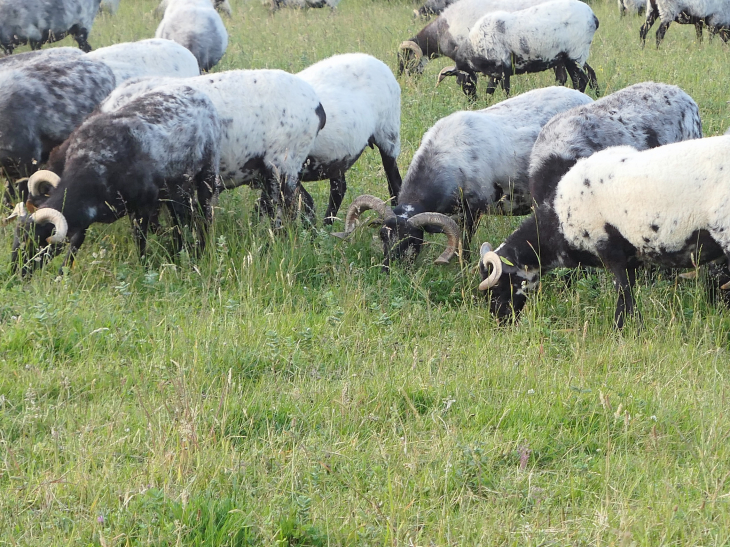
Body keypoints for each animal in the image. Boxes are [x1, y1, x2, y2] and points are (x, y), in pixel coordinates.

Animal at [294, 54, 400, 226]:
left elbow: (304, 203)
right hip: (337, 153)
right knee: (339, 189)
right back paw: (327, 226)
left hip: (388, 133)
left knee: (394, 181)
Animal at [478, 136, 728, 330]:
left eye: (499, 286)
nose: (500, 322)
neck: (557, 224)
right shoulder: (631, 260)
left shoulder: (611, 252)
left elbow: (623, 296)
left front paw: (623, 332)